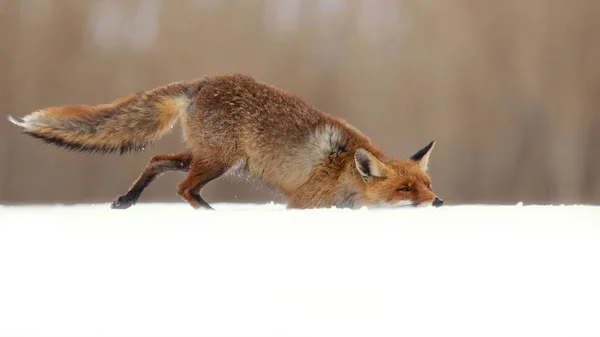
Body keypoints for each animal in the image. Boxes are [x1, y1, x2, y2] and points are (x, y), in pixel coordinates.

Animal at [7, 74, 442, 209]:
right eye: (405, 189)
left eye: (428, 184)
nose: (438, 202)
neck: (343, 174)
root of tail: (200, 82)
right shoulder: (304, 204)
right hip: (217, 161)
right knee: (183, 189)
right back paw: (210, 215)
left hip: (207, 157)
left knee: (158, 160)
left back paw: (127, 200)